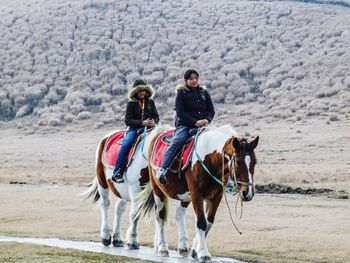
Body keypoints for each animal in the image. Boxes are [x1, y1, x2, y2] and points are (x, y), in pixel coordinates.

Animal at [135, 126, 258, 263]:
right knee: (160, 216)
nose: (247, 193)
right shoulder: (197, 195)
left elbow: (209, 222)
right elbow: (201, 222)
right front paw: (204, 253)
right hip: (158, 190)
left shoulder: (216, 197)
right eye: (238, 161)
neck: (210, 160)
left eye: (255, 162)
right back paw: (162, 247)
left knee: (179, 213)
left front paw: (195, 251)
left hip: (185, 196)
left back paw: (182, 246)